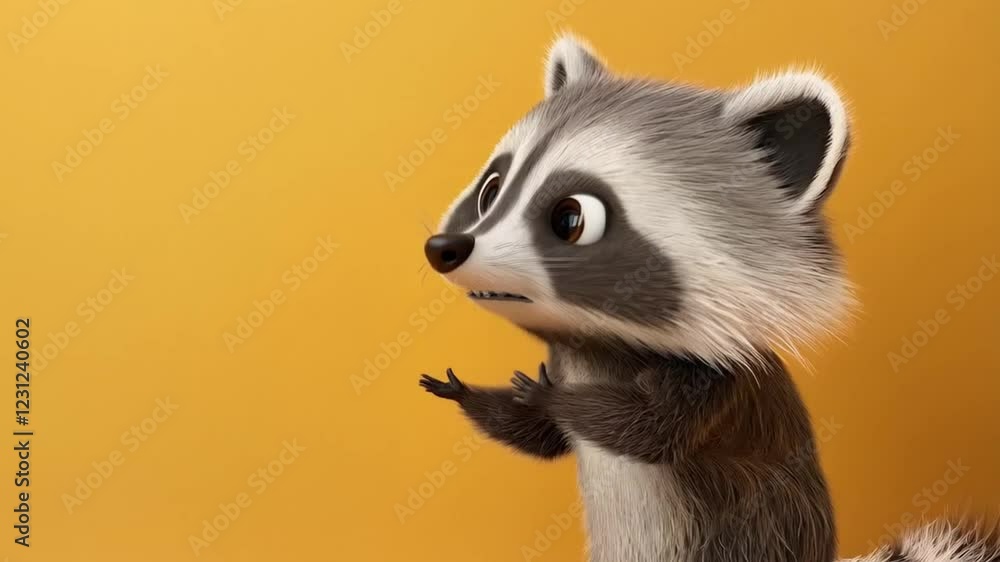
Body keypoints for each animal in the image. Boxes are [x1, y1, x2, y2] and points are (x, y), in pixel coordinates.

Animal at [418, 34, 998, 562]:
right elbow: (545, 439)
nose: (445, 248)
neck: (595, 344)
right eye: (491, 189)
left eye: (571, 218)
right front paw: (475, 394)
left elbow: (648, 432)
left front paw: (554, 399)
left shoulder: (718, 382)